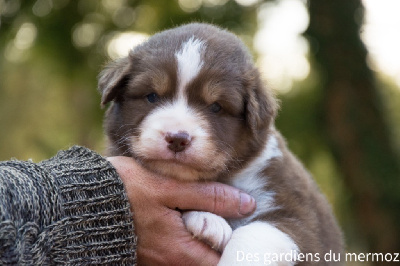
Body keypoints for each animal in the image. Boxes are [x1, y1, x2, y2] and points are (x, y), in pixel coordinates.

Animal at [97, 23, 344, 266]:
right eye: (151, 96)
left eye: (216, 107)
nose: (177, 138)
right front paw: (208, 221)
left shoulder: (298, 217)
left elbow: (251, 237)